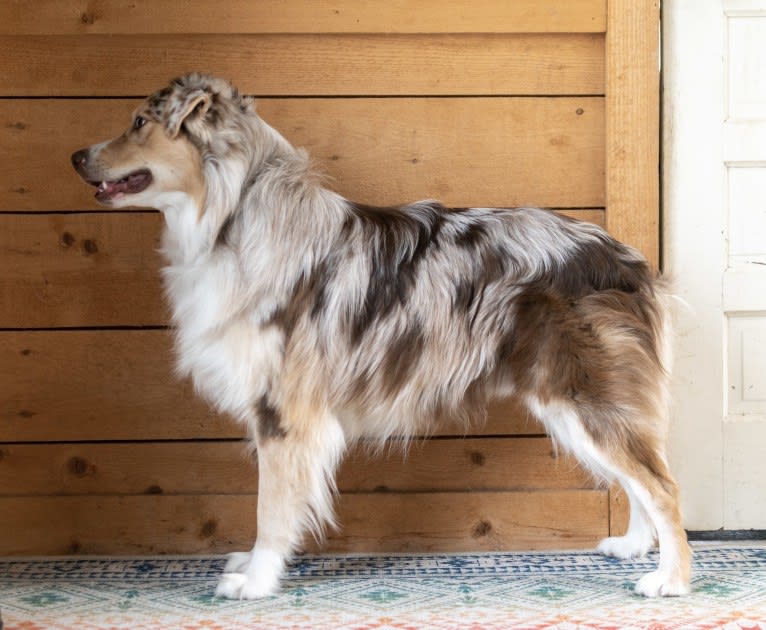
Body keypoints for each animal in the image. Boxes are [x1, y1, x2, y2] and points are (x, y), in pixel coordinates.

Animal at [72, 75, 692, 604]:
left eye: (138, 122)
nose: (76, 156)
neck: (235, 219)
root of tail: (627, 257)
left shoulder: (285, 414)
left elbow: (271, 508)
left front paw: (257, 580)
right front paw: (253, 567)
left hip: (586, 400)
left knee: (663, 486)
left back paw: (672, 580)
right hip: (577, 405)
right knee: (641, 477)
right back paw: (635, 548)